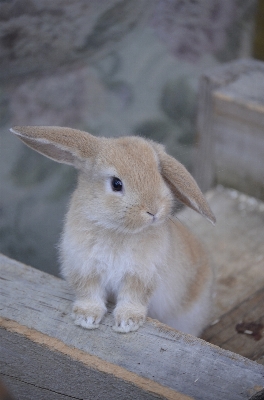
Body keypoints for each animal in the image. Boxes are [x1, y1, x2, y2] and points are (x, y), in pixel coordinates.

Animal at [10, 126, 216, 336]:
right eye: (116, 183)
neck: (117, 229)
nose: (154, 210)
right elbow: (89, 294)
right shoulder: (85, 269)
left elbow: (132, 298)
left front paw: (126, 323)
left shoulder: (140, 276)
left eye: (159, 175)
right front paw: (86, 319)